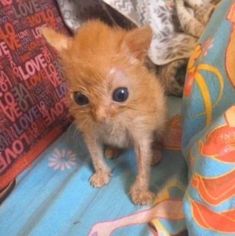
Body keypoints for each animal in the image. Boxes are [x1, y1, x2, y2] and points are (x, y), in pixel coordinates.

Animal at [42, 20, 167, 205]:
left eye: (120, 95)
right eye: (80, 98)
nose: (100, 116)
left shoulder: (141, 132)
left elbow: (143, 164)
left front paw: (141, 191)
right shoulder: (90, 131)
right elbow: (95, 156)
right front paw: (101, 173)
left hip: (159, 120)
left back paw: (156, 153)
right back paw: (113, 149)